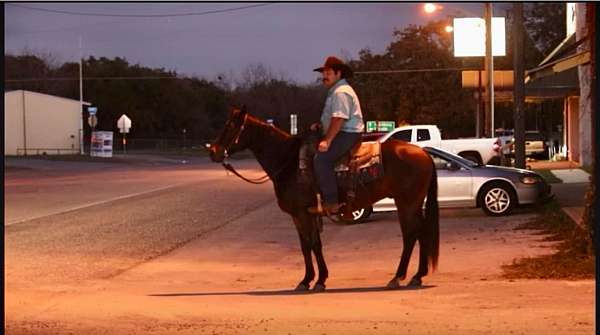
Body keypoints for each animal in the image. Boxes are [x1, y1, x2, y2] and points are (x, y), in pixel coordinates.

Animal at [209, 107, 438, 292]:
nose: (213, 152)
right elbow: (313, 244)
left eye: (230, 126)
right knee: (420, 233)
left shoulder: (300, 213)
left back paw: (399, 277)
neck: (289, 162)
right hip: (412, 204)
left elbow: (307, 245)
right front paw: (319, 279)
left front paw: (308, 281)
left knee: (411, 235)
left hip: (407, 203)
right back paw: (417, 276)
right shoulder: (307, 214)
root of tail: (423, 153)